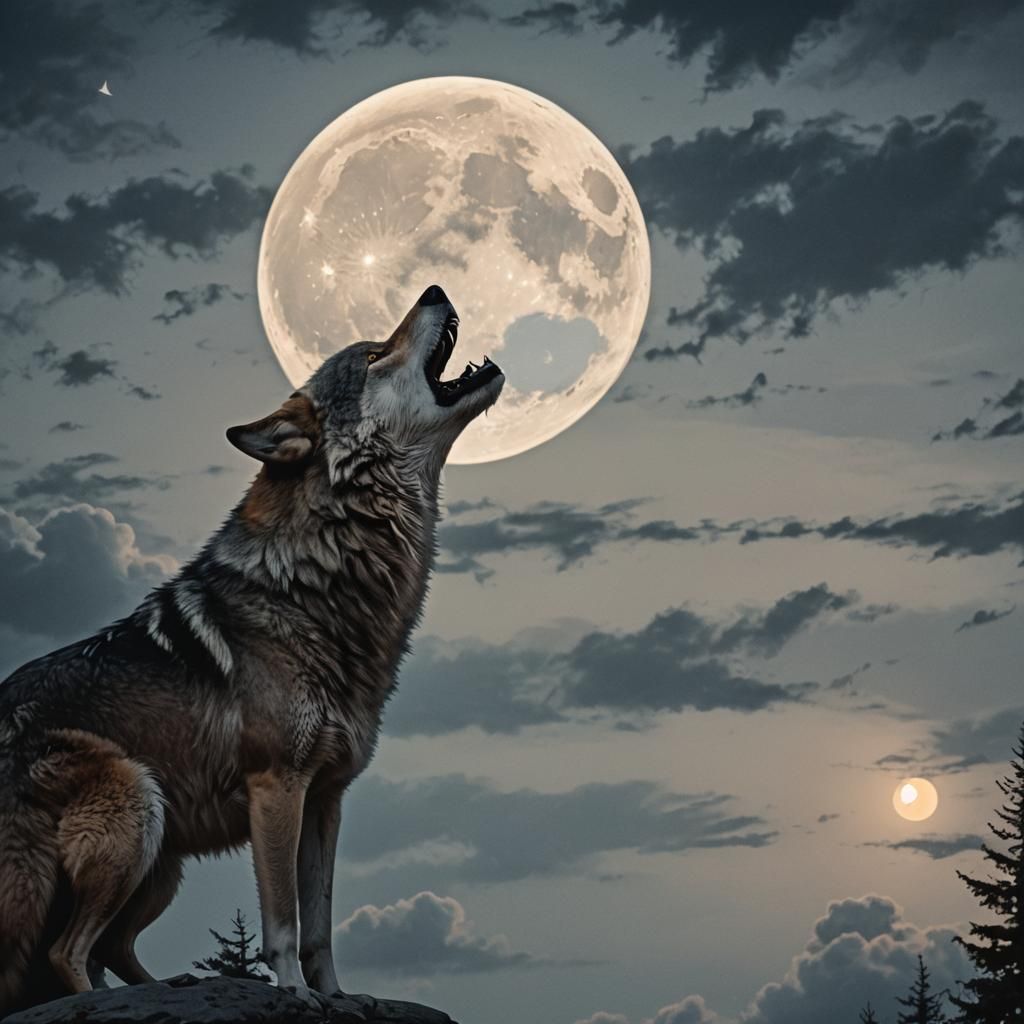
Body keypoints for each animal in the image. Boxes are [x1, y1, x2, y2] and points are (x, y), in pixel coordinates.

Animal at [0, 285, 504, 1013]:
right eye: (373, 354)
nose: (435, 289)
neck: (322, 580)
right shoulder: (277, 787)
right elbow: (283, 921)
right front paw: (294, 994)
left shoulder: (327, 800)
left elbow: (320, 925)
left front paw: (340, 997)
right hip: (137, 808)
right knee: (69, 952)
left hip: (163, 862)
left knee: (109, 948)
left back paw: (176, 984)